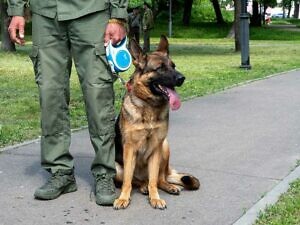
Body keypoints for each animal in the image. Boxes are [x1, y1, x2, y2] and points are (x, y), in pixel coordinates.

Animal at [112, 35, 199, 209]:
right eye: (160, 68)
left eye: (173, 66)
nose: (182, 78)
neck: (149, 107)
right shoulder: (129, 149)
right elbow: (127, 181)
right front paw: (124, 198)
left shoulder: (156, 148)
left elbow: (154, 180)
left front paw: (155, 198)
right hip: (117, 169)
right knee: (135, 180)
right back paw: (143, 186)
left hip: (164, 146)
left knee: (159, 179)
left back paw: (167, 186)